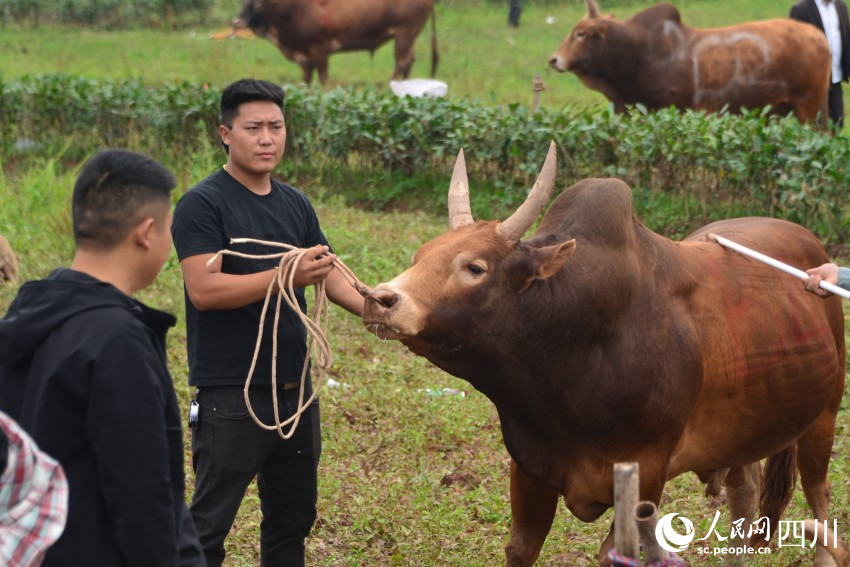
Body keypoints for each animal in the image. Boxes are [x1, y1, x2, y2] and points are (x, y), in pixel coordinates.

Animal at [237, 0, 440, 85]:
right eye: (244, 2)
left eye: (256, 4)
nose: (237, 21)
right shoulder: (305, 55)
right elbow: (306, 78)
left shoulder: (319, 48)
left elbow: (323, 77)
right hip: (409, 36)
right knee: (409, 59)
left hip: (404, 33)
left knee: (402, 60)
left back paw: (392, 83)